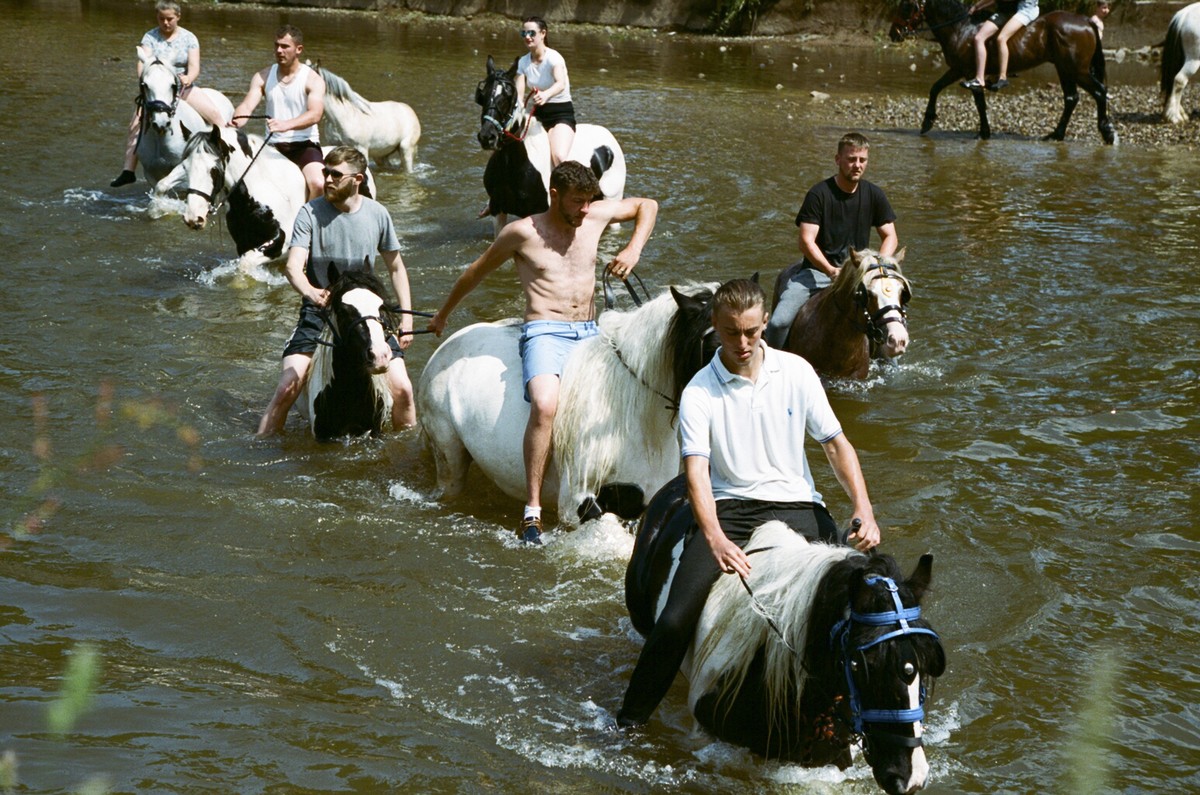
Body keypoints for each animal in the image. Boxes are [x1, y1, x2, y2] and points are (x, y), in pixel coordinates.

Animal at [892, 0, 1113, 144]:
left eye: (906, 5)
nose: (893, 33)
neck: (961, 28)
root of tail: (1086, 21)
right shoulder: (957, 69)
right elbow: (935, 88)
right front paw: (927, 121)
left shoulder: (967, 72)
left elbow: (979, 102)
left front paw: (983, 133)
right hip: (1065, 69)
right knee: (1071, 98)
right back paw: (1056, 135)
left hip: (1077, 70)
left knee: (1099, 92)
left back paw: (1107, 132)